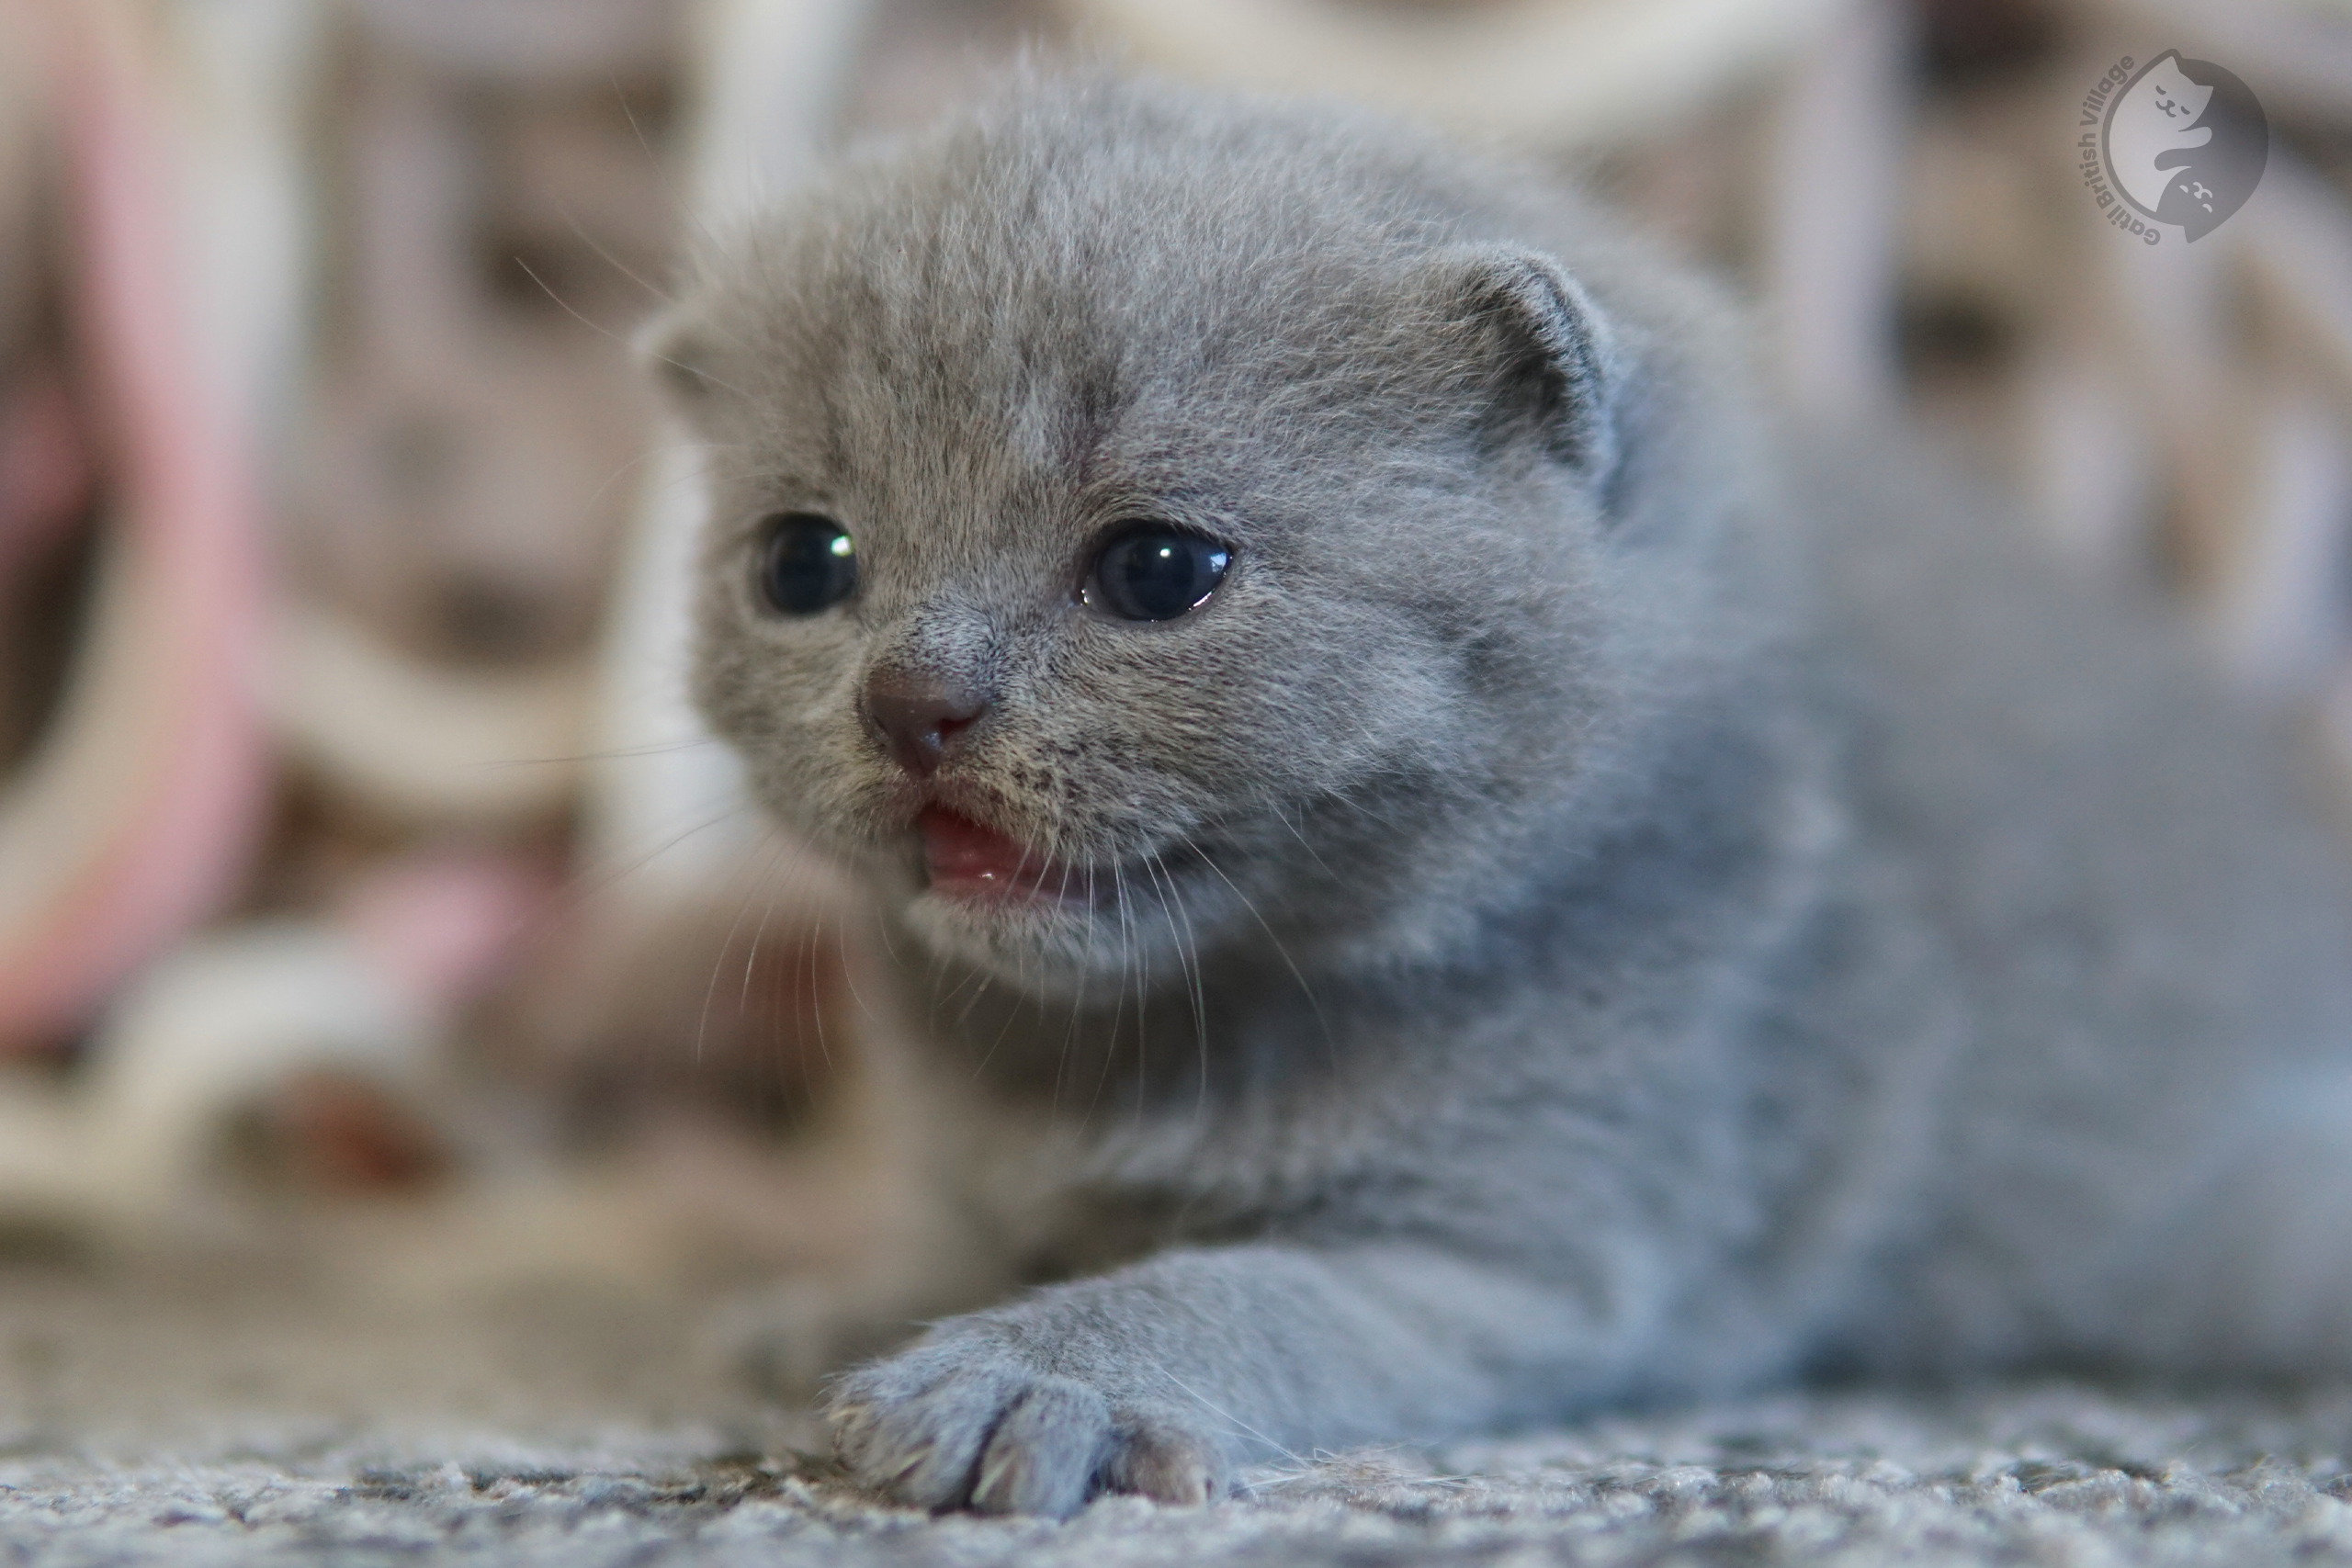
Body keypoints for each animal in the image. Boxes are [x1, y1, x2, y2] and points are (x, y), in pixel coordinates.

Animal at [653, 76, 2352, 1523]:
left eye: (1159, 569)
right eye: (803, 563)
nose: (911, 699)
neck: (1113, 1054)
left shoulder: (1515, 1250)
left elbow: (1251, 1292)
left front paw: (1036, 1374)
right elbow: (953, 1223)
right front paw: (857, 1290)